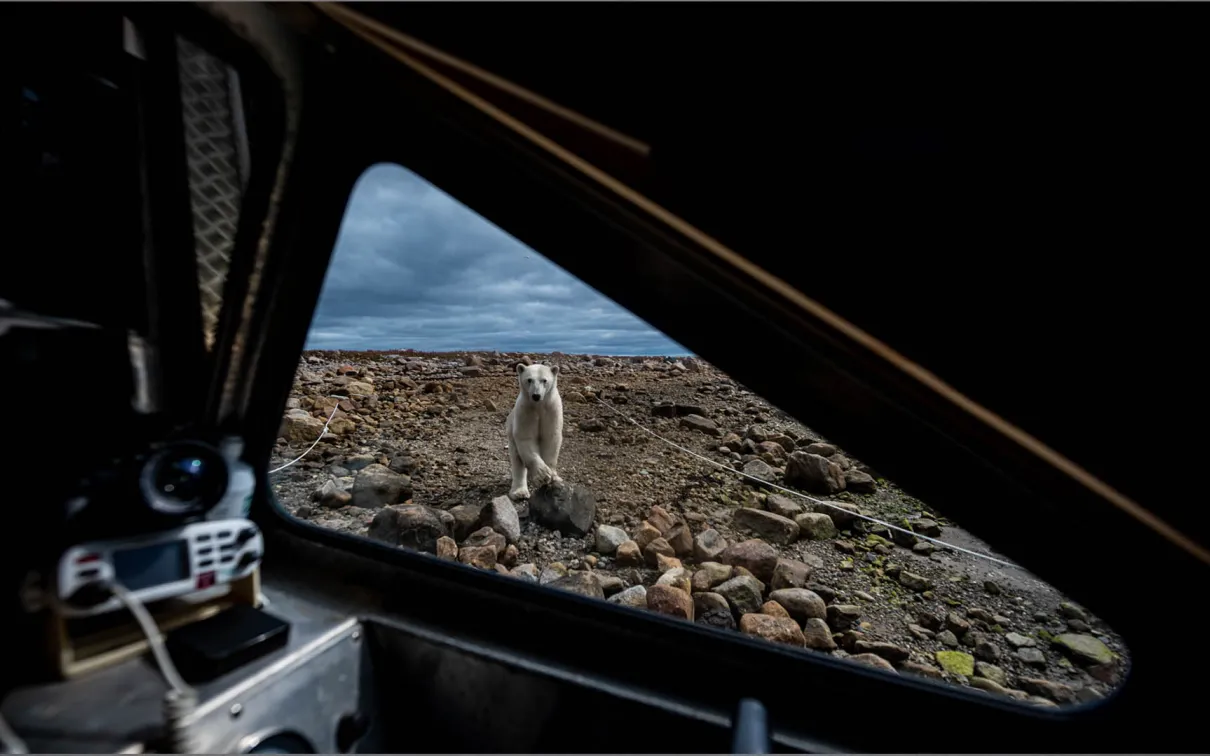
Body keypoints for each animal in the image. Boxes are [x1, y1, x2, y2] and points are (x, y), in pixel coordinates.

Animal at [506, 362, 563, 500]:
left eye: (544, 380)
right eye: (529, 380)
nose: (536, 395)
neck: (538, 406)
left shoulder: (552, 411)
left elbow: (551, 438)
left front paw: (552, 477)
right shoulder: (525, 411)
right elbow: (526, 438)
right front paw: (543, 475)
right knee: (517, 461)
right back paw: (519, 492)